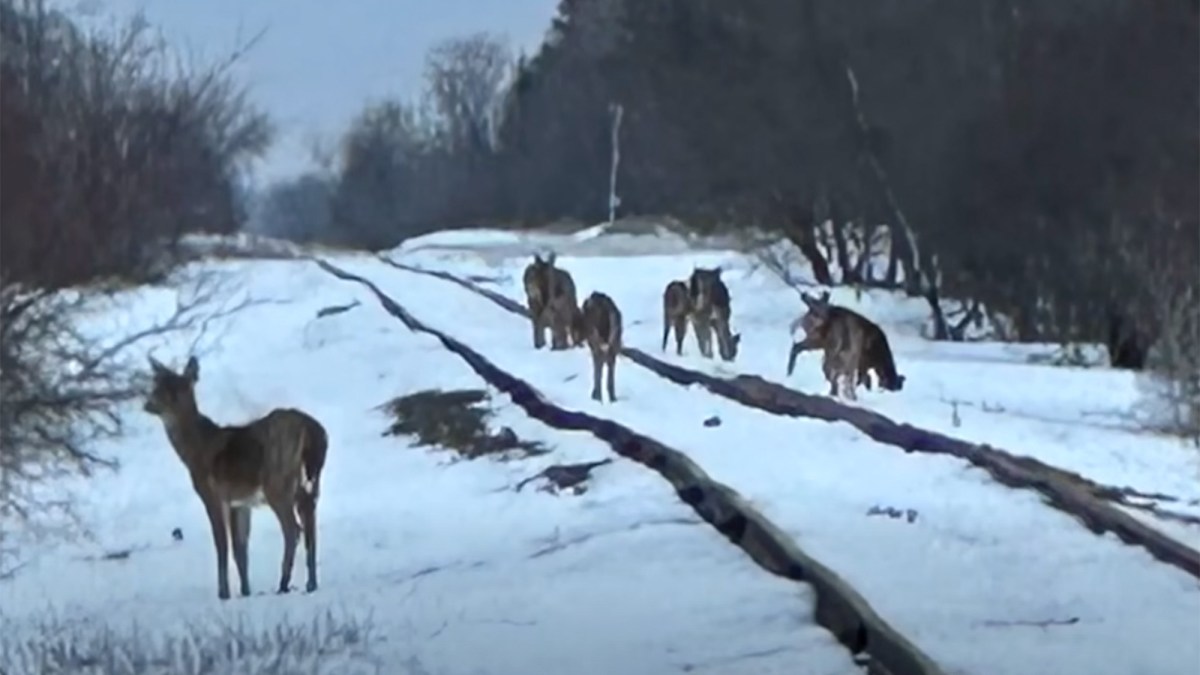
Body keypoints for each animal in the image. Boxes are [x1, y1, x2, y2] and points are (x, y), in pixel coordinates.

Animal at [143, 355, 328, 600]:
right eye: (157, 386)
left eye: (175, 389)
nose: (148, 405)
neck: (196, 451)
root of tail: (313, 431)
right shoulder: (240, 503)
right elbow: (241, 549)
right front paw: (245, 590)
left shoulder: (213, 494)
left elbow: (222, 544)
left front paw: (224, 593)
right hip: (310, 485)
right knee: (311, 529)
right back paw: (311, 584)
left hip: (277, 481)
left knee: (293, 530)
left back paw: (283, 584)